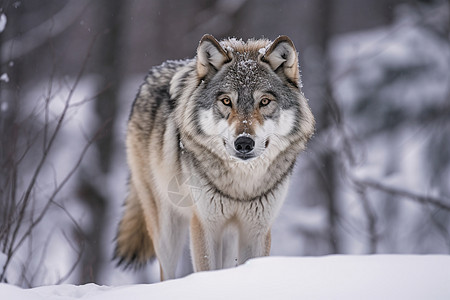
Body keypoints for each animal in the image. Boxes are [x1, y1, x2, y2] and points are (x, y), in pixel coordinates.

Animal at [114, 34, 314, 280]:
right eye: (227, 101)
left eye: (264, 102)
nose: (244, 143)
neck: (241, 186)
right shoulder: (204, 225)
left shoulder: (256, 230)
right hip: (166, 230)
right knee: (166, 272)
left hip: (227, 234)